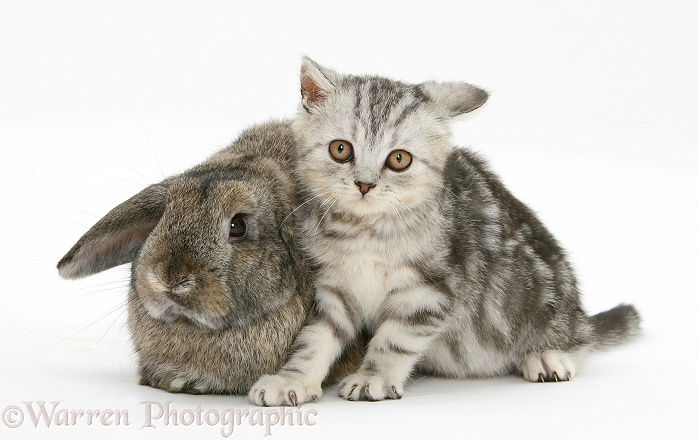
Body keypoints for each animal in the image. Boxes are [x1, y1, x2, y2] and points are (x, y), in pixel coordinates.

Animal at [247, 57, 640, 406]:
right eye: (340, 149)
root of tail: (579, 316)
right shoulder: (334, 288)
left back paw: (546, 355)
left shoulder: (431, 289)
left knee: (577, 340)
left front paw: (374, 377)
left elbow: (394, 339)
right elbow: (314, 338)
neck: (366, 232)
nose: (364, 184)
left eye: (399, 159)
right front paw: (292, 380)